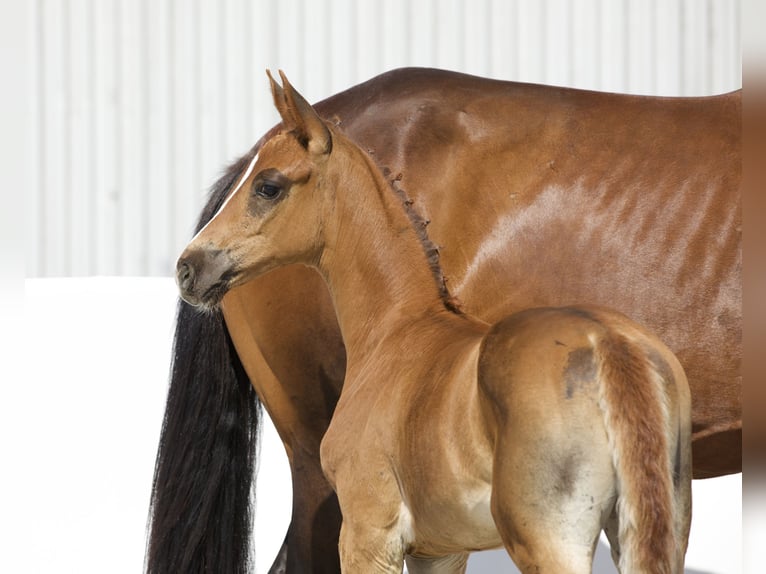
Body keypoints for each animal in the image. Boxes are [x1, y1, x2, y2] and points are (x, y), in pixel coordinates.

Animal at [147, 68, 740, 574]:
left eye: (268, 185)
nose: (189, 267)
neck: (402, 330)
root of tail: (611, 350)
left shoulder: (372, 533)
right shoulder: (438, 547)